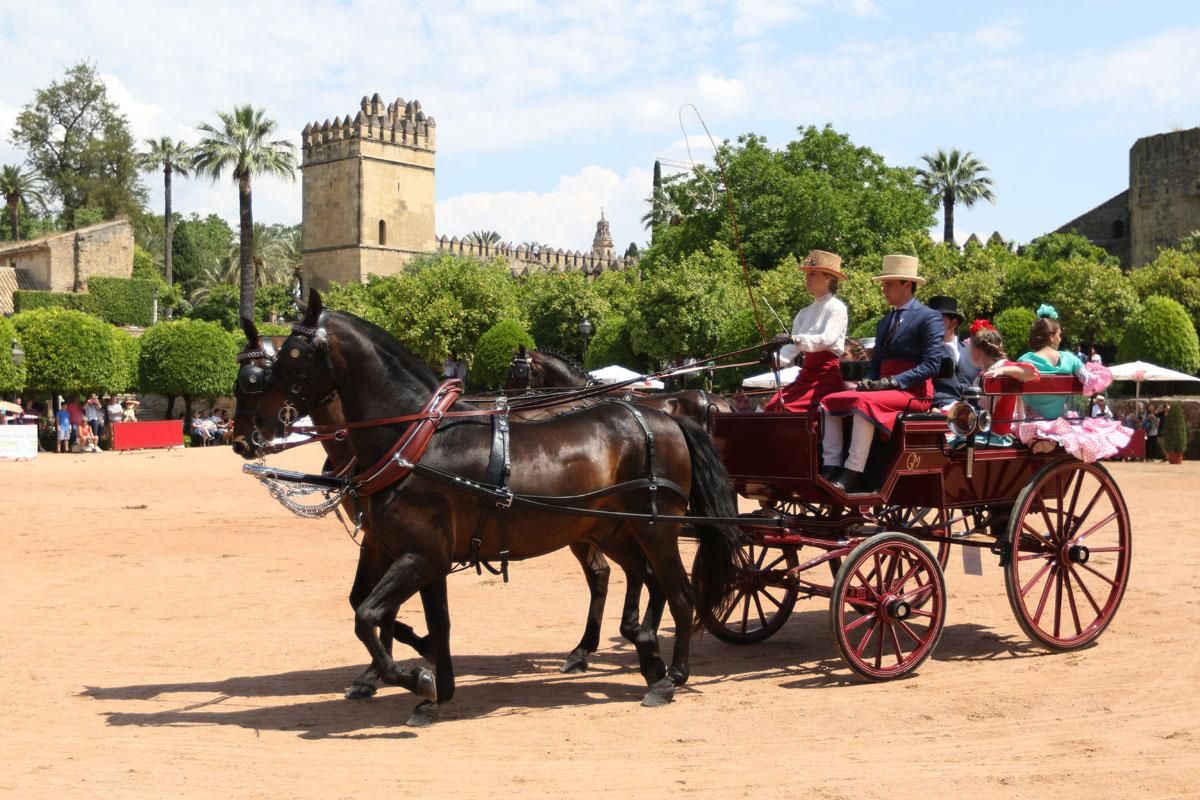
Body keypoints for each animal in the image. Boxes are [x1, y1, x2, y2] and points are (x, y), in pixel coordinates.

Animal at [230, 293, 744, 724]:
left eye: (291, 357)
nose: (245, 435)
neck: (417, 439)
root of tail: (663, 416)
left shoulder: (420, 556)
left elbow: (369, 616)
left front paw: (416, 677)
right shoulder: (409, 553)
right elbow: (422, 621)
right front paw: (435, 687)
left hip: (656, 528)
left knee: (680, 593)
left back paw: (669, 677)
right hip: (614, 529)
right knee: (643, 579)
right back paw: (643, 651)